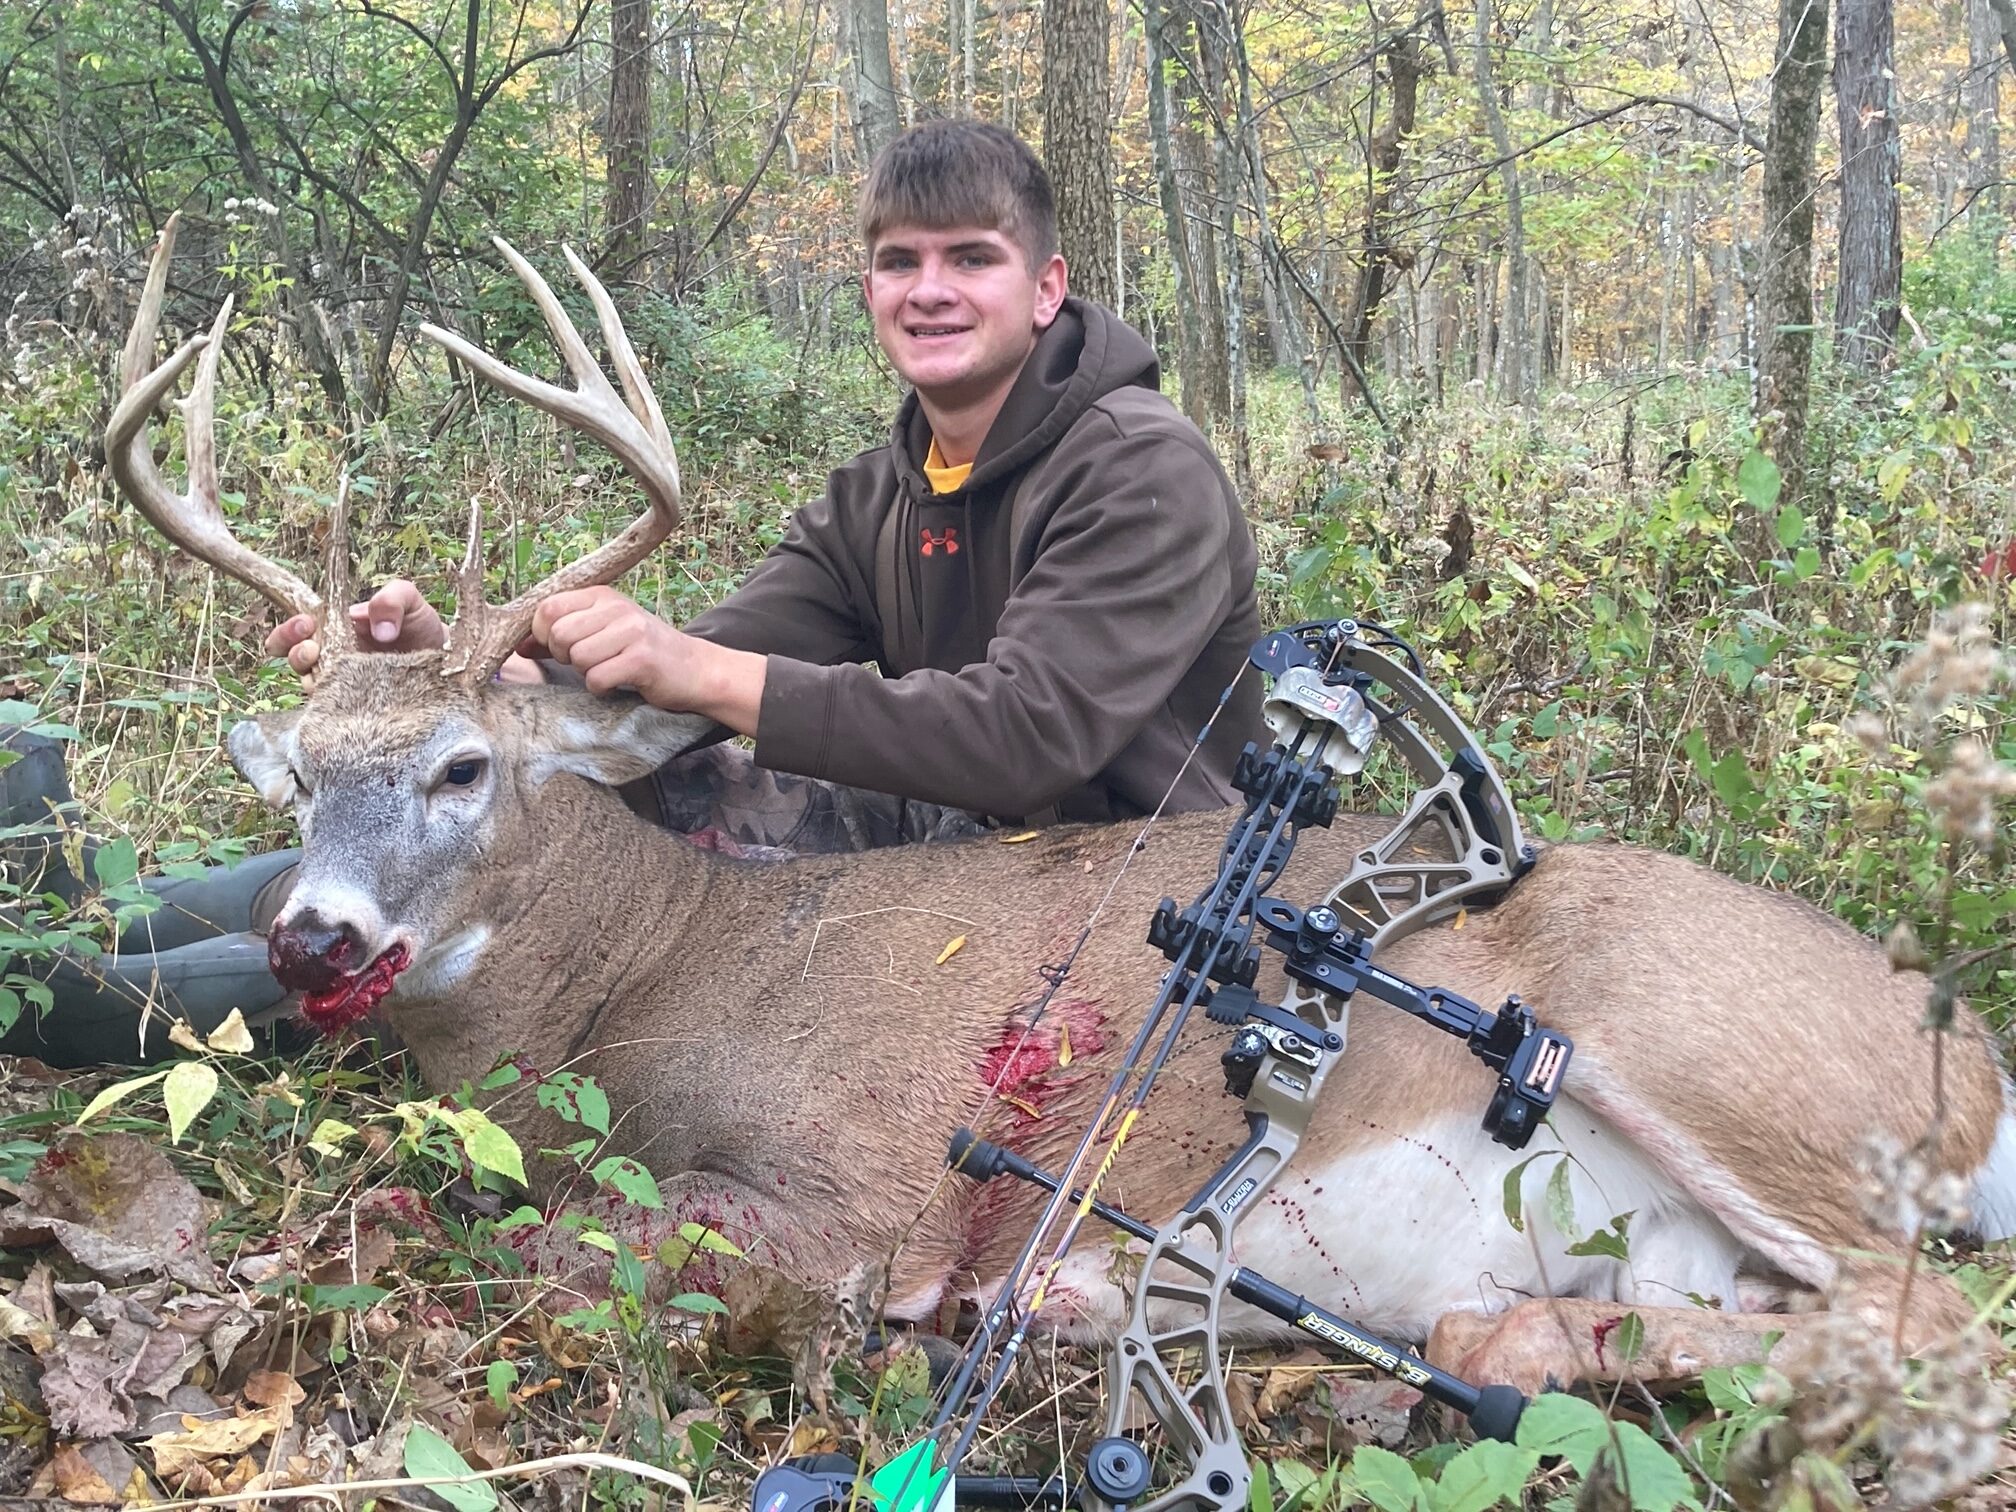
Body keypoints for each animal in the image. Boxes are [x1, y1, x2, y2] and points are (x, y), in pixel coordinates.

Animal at [102, 215, 2016, 1397]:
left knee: (1942, 1316)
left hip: (1728, 1062)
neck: (651, 973)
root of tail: (1976, 1054)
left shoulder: (858, 1181)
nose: (312, 934)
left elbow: (573, 1253)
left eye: (464, 766)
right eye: (302, 769)